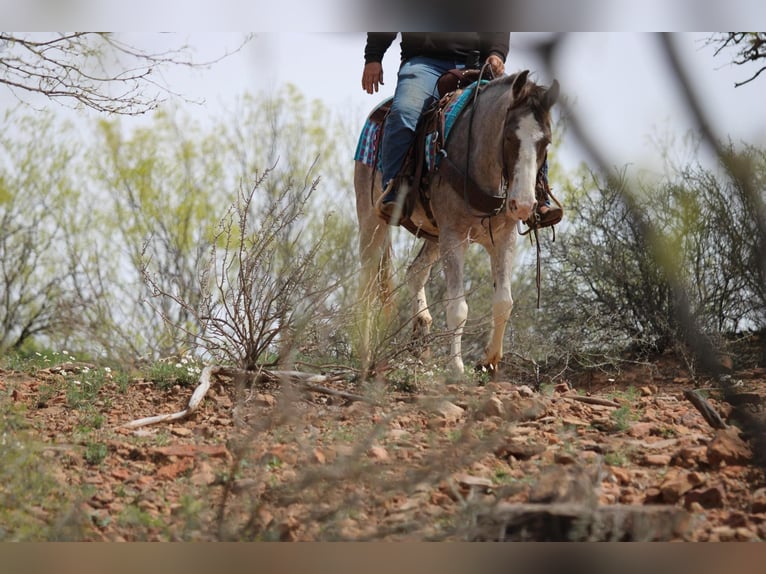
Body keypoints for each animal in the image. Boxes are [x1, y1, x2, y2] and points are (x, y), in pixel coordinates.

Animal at [356, 70, 560, 376]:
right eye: (509, 137)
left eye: (545, 142)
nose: (523, 204)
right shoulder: (454, 237)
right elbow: (458, 308)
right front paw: (456, 367)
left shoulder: (504, 238)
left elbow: (504, 302)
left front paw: (489, 361)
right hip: (372, 221)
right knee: (368, 287)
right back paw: (366, 355)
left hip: (433, 235)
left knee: (415, 272)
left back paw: (421, 333)